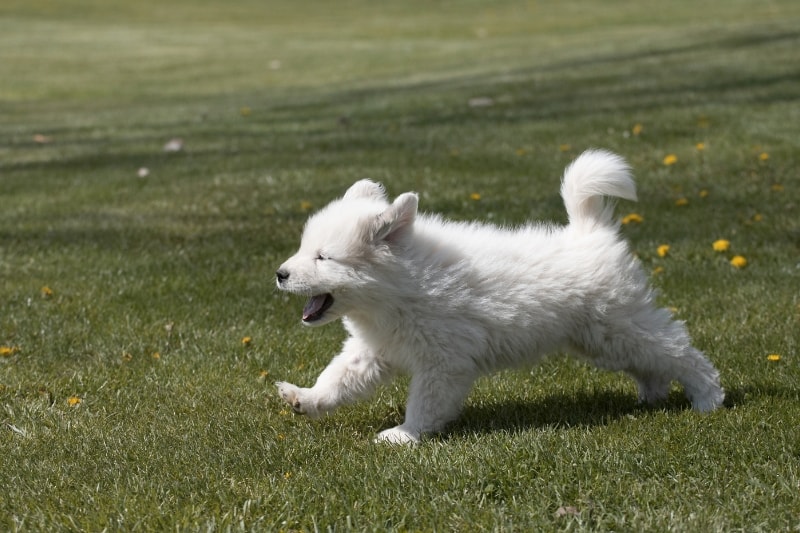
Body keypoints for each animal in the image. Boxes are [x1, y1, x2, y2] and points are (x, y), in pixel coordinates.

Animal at [276, 148, 724, 442]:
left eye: (322, 257)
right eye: (303, 249)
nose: (280, 274)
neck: (397, 291)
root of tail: (590, 232)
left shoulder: (444, 361)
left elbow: (425, 402)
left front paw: (406, 435)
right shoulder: (373, 349)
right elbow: (338, 378)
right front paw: (305, 399)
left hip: (619, 327)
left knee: (678, 349)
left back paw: (708, 397)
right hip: (602, 342)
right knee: (652, 363)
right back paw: (652, 396)